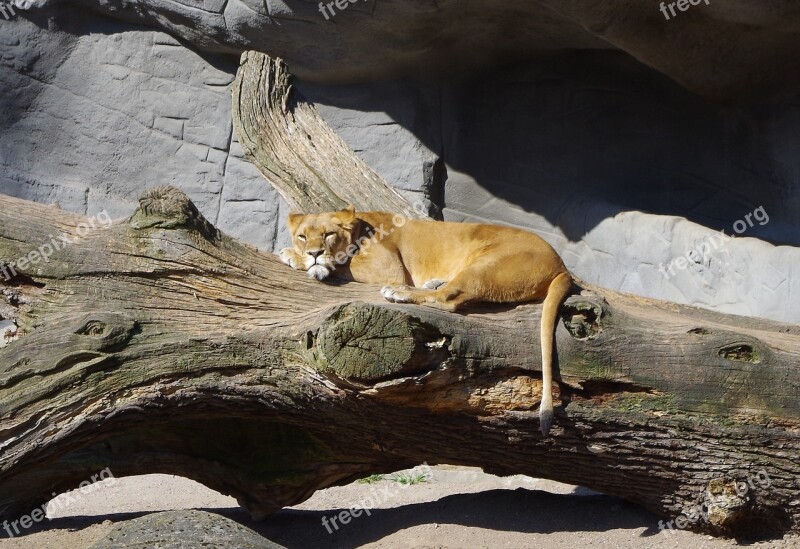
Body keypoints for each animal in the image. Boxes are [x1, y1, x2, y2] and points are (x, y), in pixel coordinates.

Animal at [278, 203, 572, 434]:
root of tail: (562, 265)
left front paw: (300, 259)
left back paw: (400, 292)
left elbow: (342, 263)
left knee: (448, 298)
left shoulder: (387, 267)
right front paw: (297, 255)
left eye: (328, 234)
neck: (361, 226)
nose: (313, 253)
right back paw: (432, 281)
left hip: (486, 265)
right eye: (302, 236)